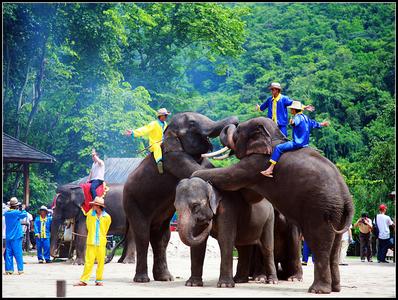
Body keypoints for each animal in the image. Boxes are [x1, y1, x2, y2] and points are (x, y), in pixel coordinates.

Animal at [123, 111, 238, 282]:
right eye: (192, 123)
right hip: (132, 202)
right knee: (142, 235)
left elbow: (206, 170)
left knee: (161, 238)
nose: (236, 122)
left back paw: (165, 278)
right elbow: (196, 172)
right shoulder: (174, 159)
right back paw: (142, 279)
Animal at [193, 116, 354, 292]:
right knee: (334, 247)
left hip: (320, 210)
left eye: (238, 131)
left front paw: (195, 174)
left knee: (319, 244)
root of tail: (347, 199)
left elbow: (230, 176)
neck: (274, 136)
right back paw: (336, 289)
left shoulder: (257, 164)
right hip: (337, 214)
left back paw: (316, 290)